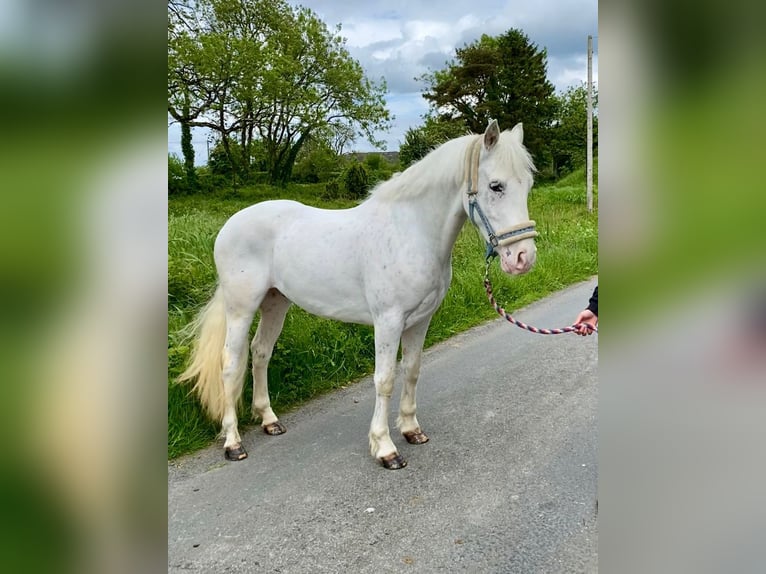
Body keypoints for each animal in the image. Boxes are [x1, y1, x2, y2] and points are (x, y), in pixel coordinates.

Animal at [180, 119, 540, 470]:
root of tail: (231, 225)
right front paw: (385, 448)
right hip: (241, 308)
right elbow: (385, 379)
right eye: (496, 186)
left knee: (260, 352)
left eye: (528, 185)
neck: (410, 231)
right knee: (231, 363)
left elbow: (412, 371)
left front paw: (411, 430)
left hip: (275, 302)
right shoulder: (388, 321)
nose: (523, 258)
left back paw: (269, 420)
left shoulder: (421, 321)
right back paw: (233, 442)